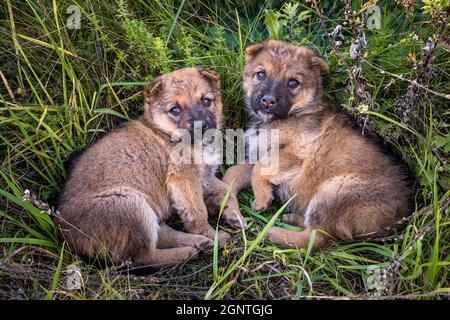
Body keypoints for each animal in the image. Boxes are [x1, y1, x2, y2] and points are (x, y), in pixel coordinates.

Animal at [58, 67, 244, 268]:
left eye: (206, 101)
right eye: (175, 110)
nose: (201, 126)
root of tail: (63, 230)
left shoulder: (204, 178)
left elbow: (226, 190)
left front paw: (234, 215)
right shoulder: (184, 179)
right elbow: (197, 211)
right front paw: (212, 235)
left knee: (161, 235)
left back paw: (198, 243)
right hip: (131, 205)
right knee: (144, 257)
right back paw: (186, 251)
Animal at [223, 40, 414, 250]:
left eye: (293, 82)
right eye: (261, 74)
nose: (268, 101)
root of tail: (401, 218)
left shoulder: (293, 154)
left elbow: (258, 170)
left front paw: (261, 199)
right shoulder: (260, 156)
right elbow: (232, 173)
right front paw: (229, 208)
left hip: (332, 192)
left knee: (317, 238)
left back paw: (272, 233)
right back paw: (293, 219)